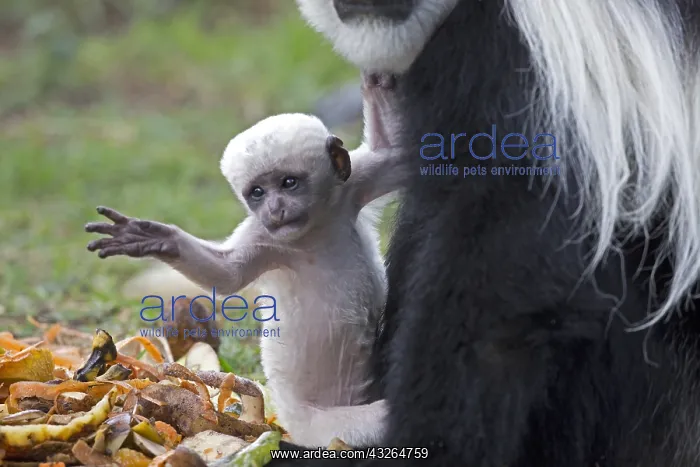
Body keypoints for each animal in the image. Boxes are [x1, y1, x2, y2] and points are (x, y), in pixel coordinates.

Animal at [85, 103, 407, 447]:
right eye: (257, 193)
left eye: (288, 183)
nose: (275, 210)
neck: (314, 232)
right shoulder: (265, 237)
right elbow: (228, 275)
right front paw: (157, 239)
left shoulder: (351, 187)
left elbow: (393, 154)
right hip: (326, 427)